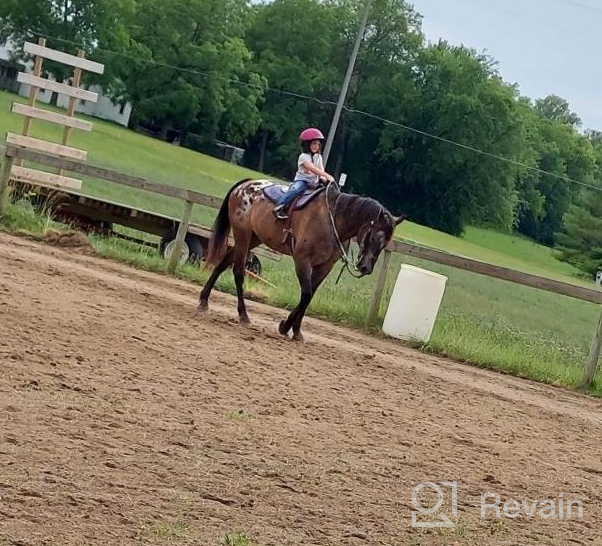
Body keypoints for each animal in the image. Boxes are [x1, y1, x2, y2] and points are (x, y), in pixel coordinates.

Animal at [198, 178, 404, 340]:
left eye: (385, 244)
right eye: (373, 236)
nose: (366, 267)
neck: (333, 220)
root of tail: (244, 185)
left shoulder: (324, 266)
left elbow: (310, 295)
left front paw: (296, 331)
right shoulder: (302, 260)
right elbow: (305, 294)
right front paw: (285, 326)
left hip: (253, 239)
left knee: (223, 263)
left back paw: (204, 301)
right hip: (243, 235)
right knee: (238, 271)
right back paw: (243, 315)